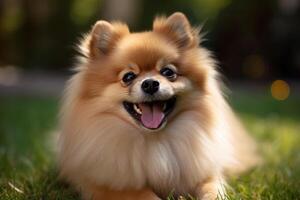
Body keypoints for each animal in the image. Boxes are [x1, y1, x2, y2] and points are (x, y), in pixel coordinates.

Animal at [58, 12, 258, 200]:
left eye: (168, 72)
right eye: (128, 77)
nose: (150, 84)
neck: (155, 141)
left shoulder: (206, 174)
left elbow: (212, 190)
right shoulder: (104, 187)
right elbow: (142, 194)